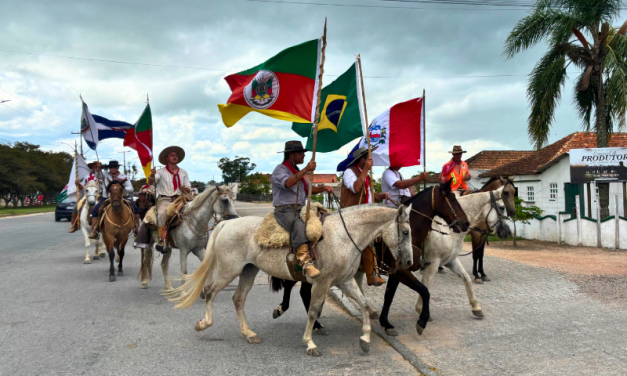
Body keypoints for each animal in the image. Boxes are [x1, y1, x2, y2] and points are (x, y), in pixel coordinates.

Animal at [166, 204, 418, 356]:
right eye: (405, 232)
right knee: (210, 291)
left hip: (248, 271)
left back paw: (249, 334)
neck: (343, 236)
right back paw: (204, 323)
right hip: (229, 270)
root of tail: (227, 223)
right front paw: (310, 343)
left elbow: (364, 305)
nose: (408, 262)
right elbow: (313, 311)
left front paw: (365, 339)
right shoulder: (323, 283)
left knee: (238, 299)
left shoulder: (345, 282)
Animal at [270, 181, 472, 336]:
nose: (466, 223)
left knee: (300, 289)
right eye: (452, 198)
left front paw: (385, 322)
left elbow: (390, 295)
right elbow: (424, 291)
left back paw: (313, 322)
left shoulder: (398, 272)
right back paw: (286, 310)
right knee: (293, 284)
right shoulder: (401, 272)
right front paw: (421, 321)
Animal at [414, 185, 512, 320]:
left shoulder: (451, 260)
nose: (508, 231)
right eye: (502, 207)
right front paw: (421, 310)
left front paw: (476, 307)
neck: (446, 229)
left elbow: (466, 278)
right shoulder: (433, 262)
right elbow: (425, 285)